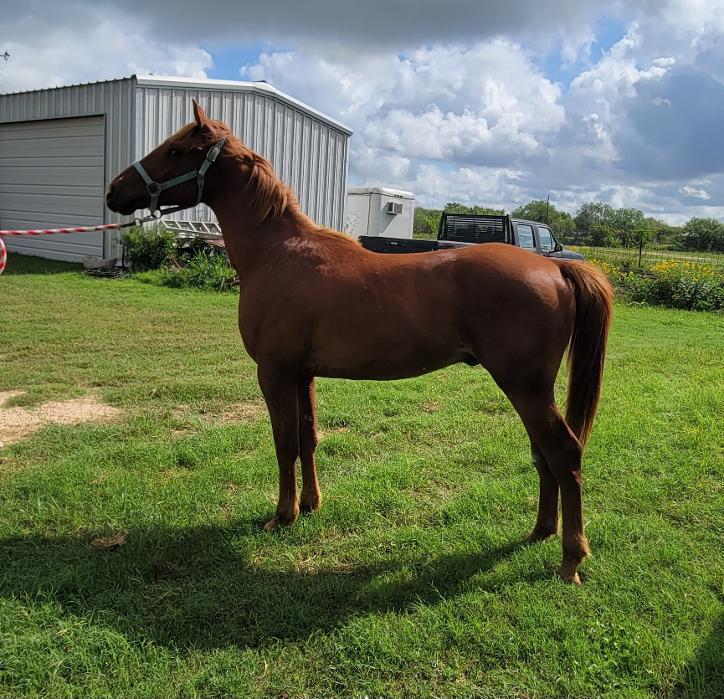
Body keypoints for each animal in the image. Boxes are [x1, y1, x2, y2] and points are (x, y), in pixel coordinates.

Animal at [106, 100, 612, 584]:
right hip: (529, 391)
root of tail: (555, 267)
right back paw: (540, 531)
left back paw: (570, 560)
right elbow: (308, 437)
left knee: (564, 454)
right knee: (544, 455)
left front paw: (283, 515)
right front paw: (311, 504)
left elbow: (284, 442)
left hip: (525, 388)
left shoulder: (274, 373)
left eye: (176, 151)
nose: (114, 191)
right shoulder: (302, 374)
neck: (277, 254)